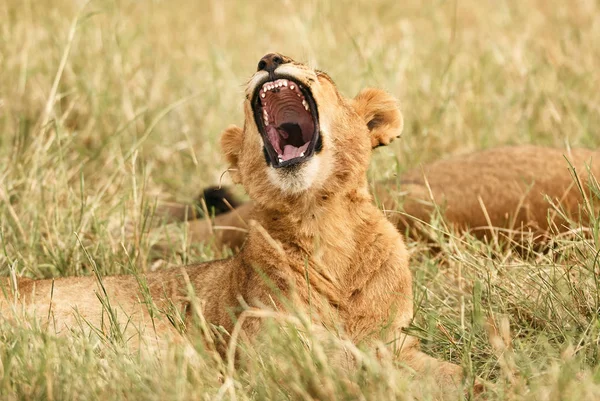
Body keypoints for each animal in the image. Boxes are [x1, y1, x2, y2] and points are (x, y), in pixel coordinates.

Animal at [1, 54, 464, 396]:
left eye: (322, 75)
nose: (270, 58)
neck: (322, 222)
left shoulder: (398, 342)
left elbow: (452, 374)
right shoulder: (270, 357)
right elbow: (339, 372)